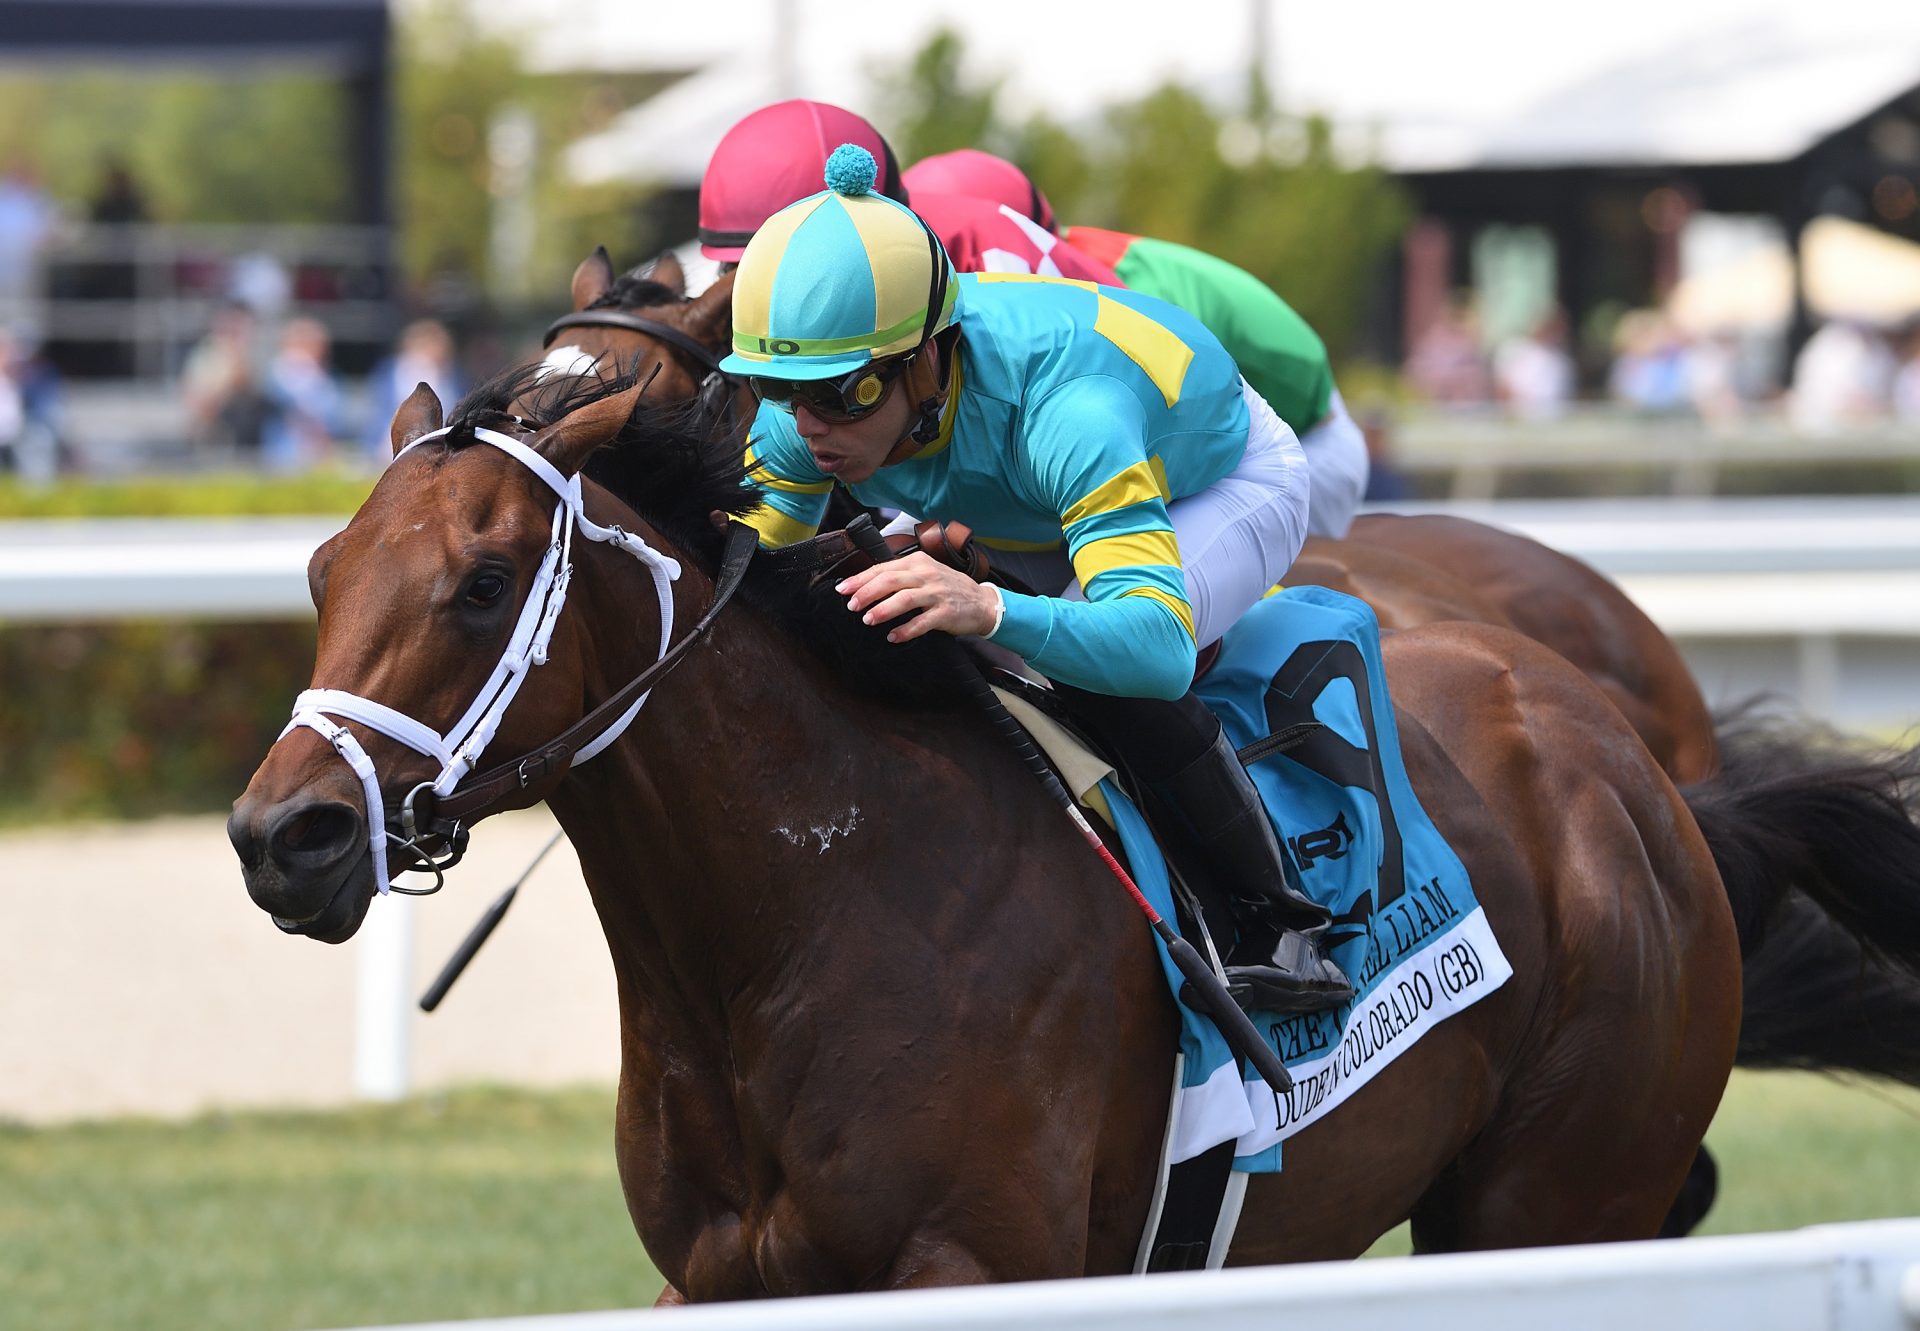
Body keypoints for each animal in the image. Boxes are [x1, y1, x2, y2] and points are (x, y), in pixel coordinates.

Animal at [228, 368, 1920, 1290]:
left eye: (481, 581)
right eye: (322, 569)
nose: (282, 833)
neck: (803, 918)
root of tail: (1648, 786)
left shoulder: (978, 1263)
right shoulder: (716, 1277)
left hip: (1554, 1200)